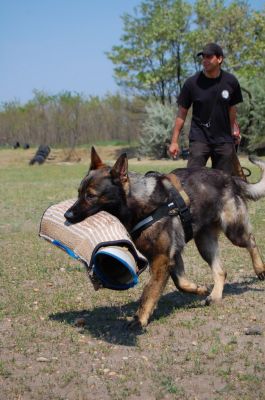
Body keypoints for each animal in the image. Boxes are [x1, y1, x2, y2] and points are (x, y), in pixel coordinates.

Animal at [64, 147, 264, 328]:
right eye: (79, 193)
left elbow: (149, 291)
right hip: (205, 243)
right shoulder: (173, 256)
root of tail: (230, 177)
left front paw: (139, 319)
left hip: (233, 231)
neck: (138, 204)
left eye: (91, 196)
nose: (67, 215)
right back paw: (214, 295)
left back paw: (260, 269)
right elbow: (181, 283)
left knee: (251, 241)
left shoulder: (161, 258)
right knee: (221, 271)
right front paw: (199, 289)